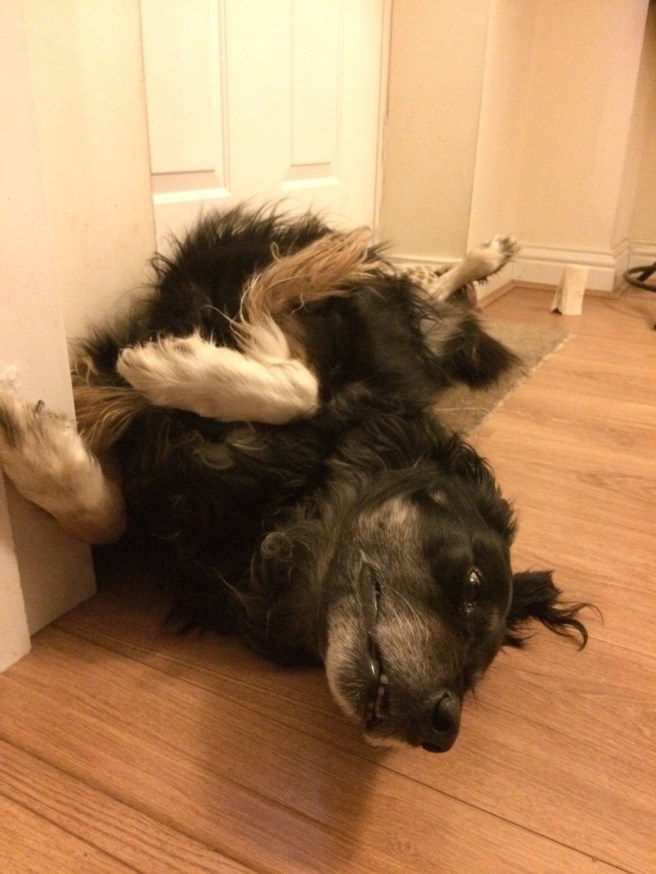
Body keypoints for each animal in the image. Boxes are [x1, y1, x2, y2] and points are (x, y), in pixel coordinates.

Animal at [0, 205, 589, 753]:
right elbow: (298, 379)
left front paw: (41, 446)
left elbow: (109, 518)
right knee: (415, 280)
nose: (445, 727)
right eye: (471, 583)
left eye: (473, 678)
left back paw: (487, 256)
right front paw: (174, 368)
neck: (287, 501)